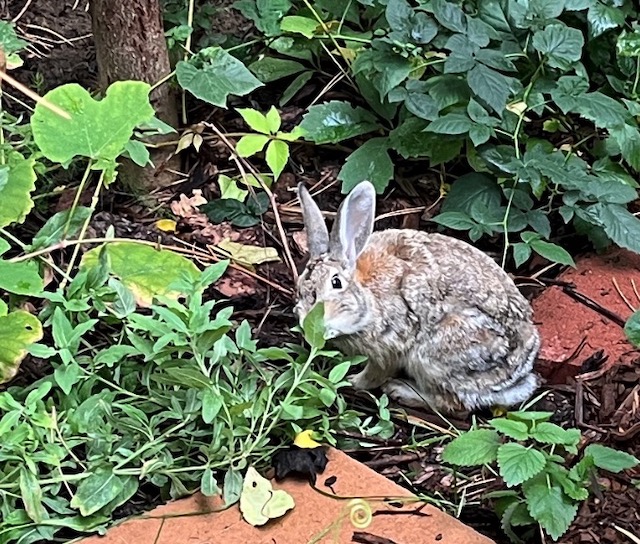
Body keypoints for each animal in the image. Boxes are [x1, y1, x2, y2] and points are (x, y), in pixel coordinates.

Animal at [296, 181, 540, 414]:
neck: (366, 292)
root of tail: (516, 377)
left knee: (454, 404)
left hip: (434, 357)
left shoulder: (389, 347)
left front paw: (353, 381)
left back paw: (401, 390)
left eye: (336, 283)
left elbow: (376, 373)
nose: (308, 323)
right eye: (299, 288)